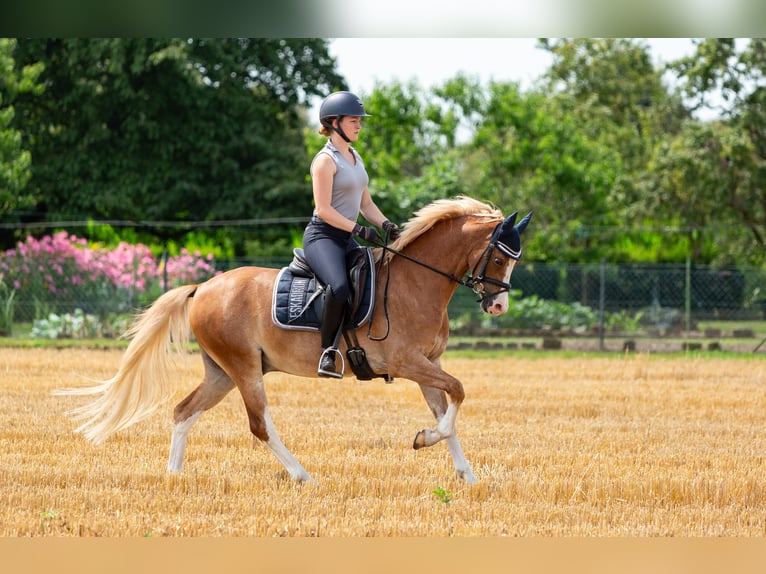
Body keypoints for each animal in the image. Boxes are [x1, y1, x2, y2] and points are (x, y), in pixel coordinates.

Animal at [58, 197, 536, 486]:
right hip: (244, 369)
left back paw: (174, 475)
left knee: (184, 411)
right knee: (258, 424)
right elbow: (458, 392)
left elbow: (448, 409)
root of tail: (204, 287)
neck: (417, 282)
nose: (498, 306)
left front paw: (466, 474)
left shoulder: (426, 365)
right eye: (499, 257)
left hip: (222, 373)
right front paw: (424, 440)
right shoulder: (405, 362)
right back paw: (303, 475)